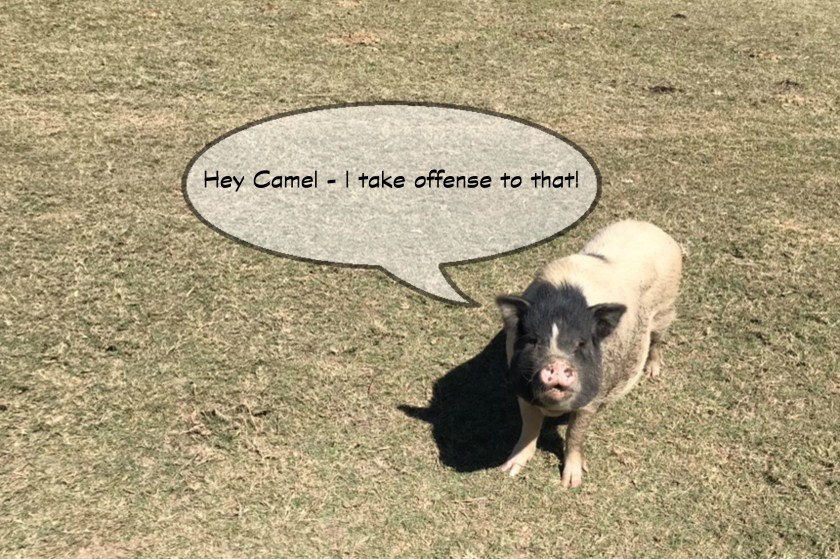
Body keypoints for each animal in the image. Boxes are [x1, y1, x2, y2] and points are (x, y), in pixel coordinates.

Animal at [496, 220, 682, 488]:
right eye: (532, 340)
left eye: (581, 343)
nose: (558, 364)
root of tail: (652, 228)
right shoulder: (521, 387)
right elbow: (529, 426)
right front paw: (508, 470)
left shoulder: (593, 396)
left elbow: (575, 434)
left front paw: (570, 484)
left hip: (666, 307)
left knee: (657, 340)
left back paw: (652, 373)